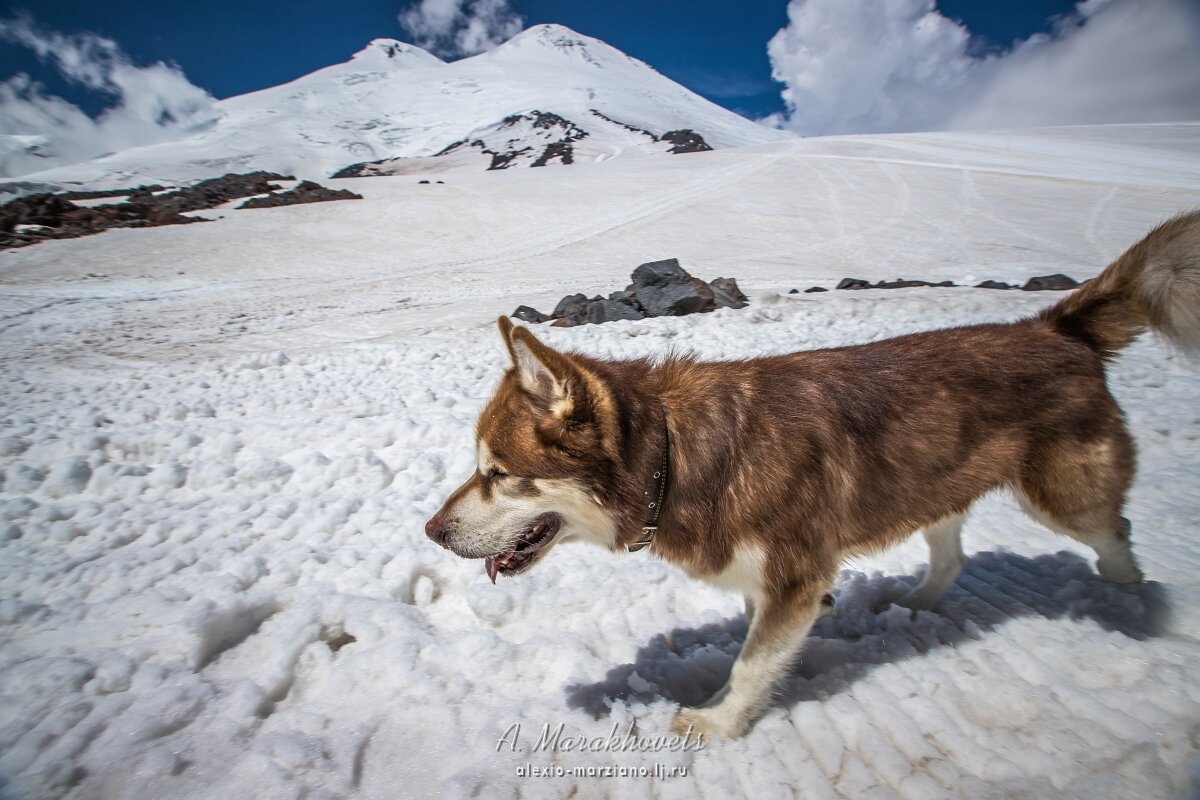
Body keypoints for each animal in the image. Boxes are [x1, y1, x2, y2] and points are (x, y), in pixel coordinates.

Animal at [427, 211, 1200, 738]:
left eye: (498, 472)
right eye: (479, 468)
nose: (430, 530)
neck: (676, 458)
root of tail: (1052, 326)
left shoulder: (796, 578)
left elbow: (750, 663)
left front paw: (717, 724)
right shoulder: (765, 580)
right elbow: (755, 641)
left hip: (1063, 498)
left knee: (1115, 533)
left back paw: (1129, 604)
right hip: (937, 480)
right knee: (952, 551)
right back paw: (918, 602)